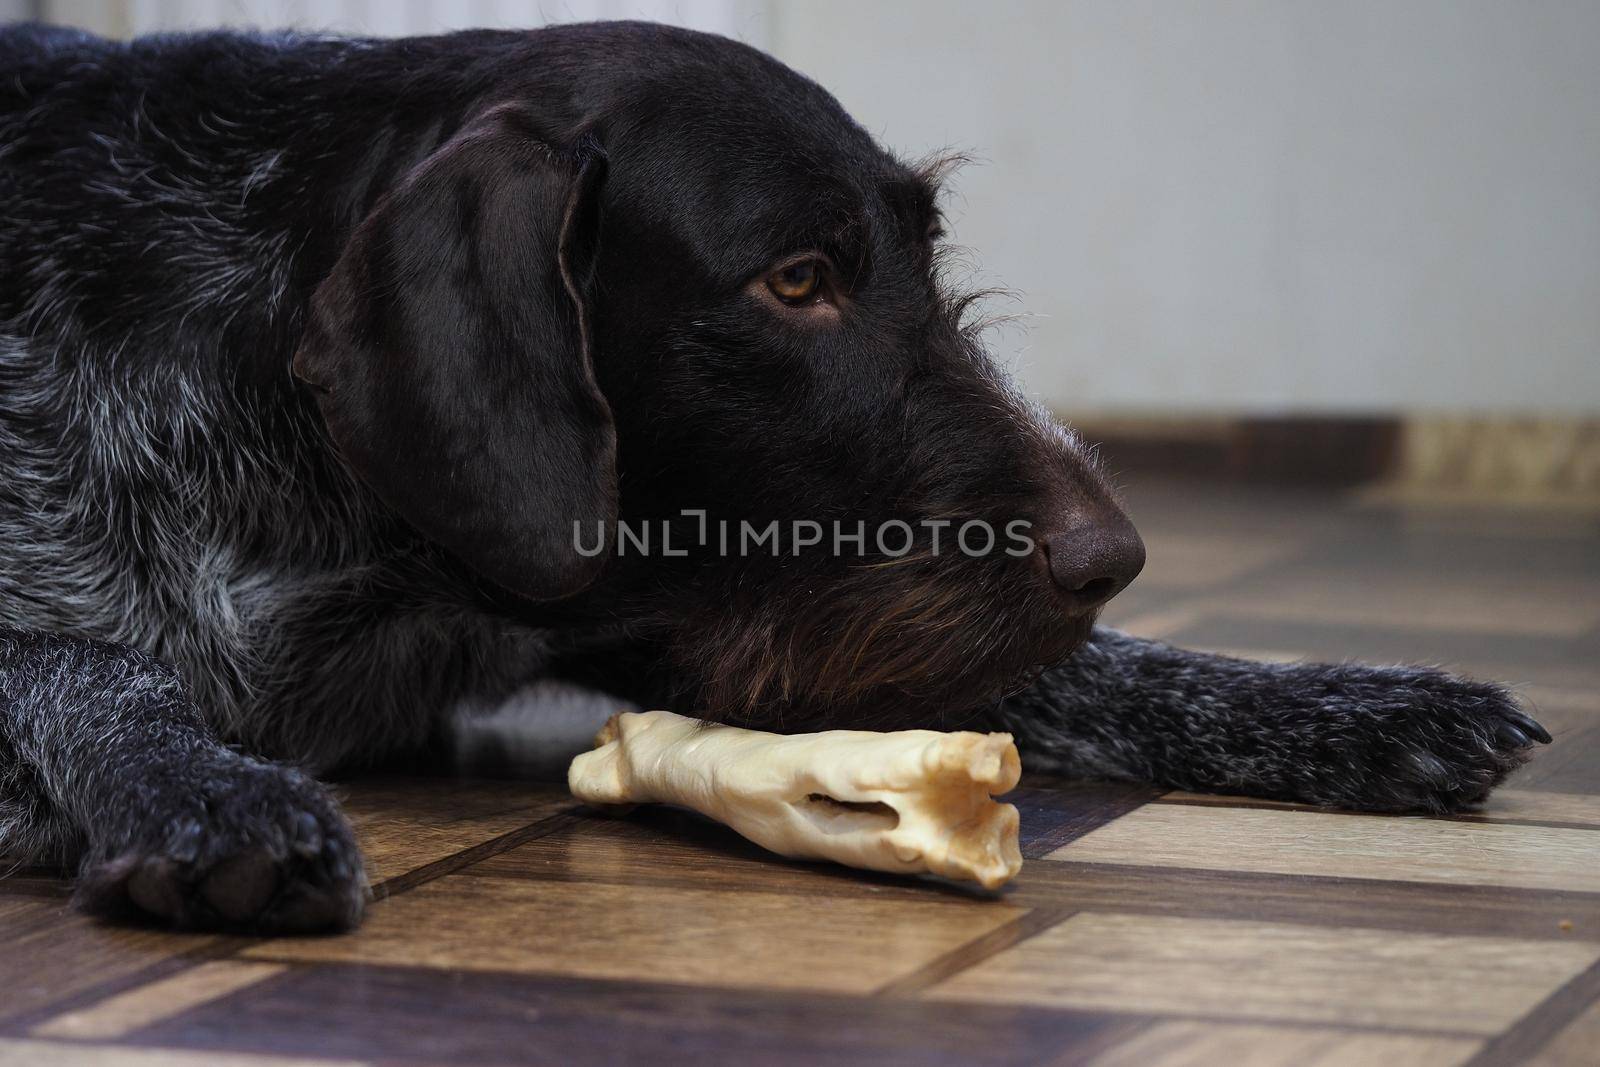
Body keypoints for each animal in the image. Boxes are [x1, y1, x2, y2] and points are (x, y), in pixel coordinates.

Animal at [0, 20, 1548, 927]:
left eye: (923, 250)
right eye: (796, 279)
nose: (1112, 556)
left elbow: (1091, 674)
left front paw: (1354, 703)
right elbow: (87, 665)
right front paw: (204, 789)